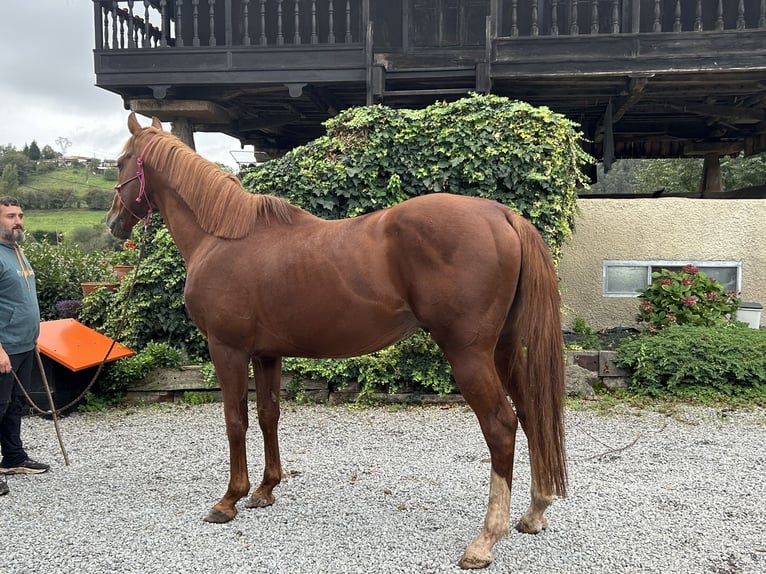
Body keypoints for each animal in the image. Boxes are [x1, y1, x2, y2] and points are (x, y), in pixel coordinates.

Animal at [106, 113, 568, 572]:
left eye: (121, 161)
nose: (113, 223)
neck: (222, 238)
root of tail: (502, 214)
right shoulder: (267, 354)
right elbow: (268, 416)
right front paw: (265, 490)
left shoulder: (228, 350)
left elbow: (235, 420)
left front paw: (229, 499)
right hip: (503, 349)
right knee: (531, 413)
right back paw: (535, 512)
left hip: (469, 354)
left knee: (501, 426)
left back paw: (486, 539)